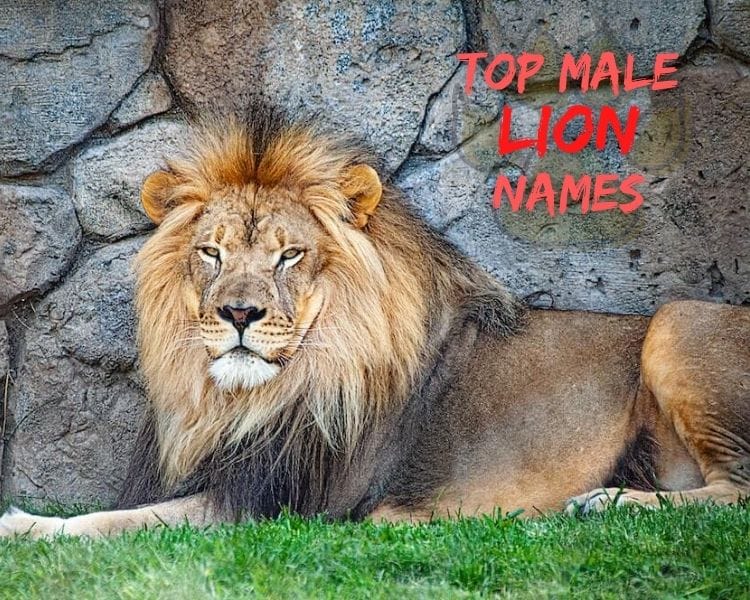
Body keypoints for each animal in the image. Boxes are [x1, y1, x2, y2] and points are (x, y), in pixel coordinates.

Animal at [1, 106, 748, 538]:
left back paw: (610, 503)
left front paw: (25, 525)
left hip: (677, 320)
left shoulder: (274, 507)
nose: (239, 313)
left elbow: (116, 522)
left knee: (739, 490)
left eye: (290, 255)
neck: (240, 400)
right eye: (211, 252)